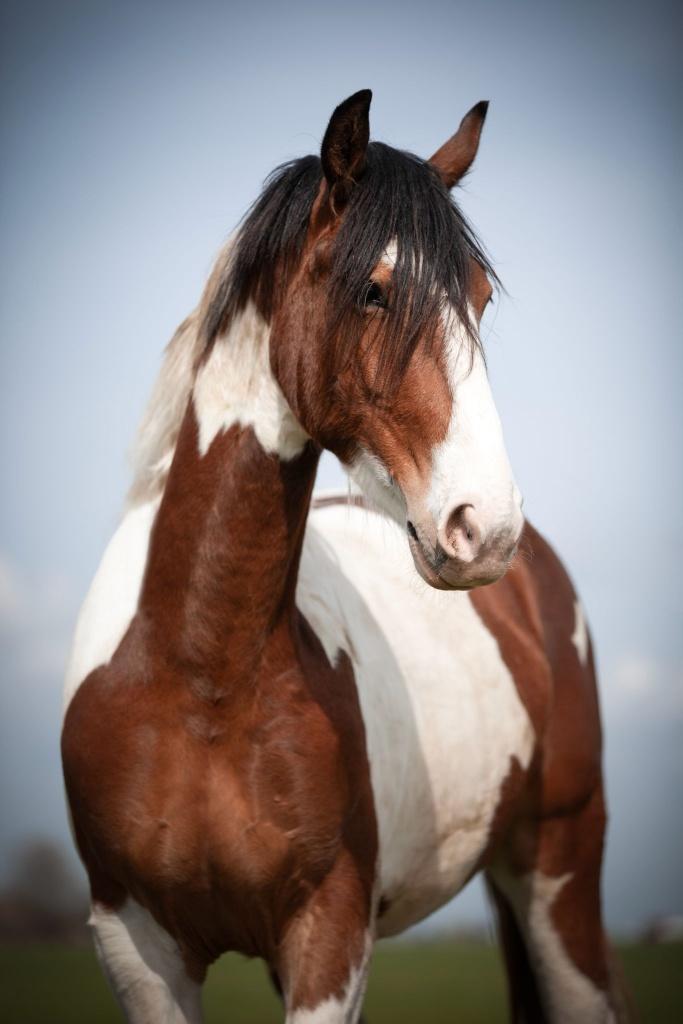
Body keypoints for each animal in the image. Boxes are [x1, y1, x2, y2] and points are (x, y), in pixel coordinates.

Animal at [61, 90, 628, 1022]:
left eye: (478, 297)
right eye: (372, 290)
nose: (485, 527)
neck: (199, 681)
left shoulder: (329, 937)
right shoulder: (135, 947)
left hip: (560, 874)